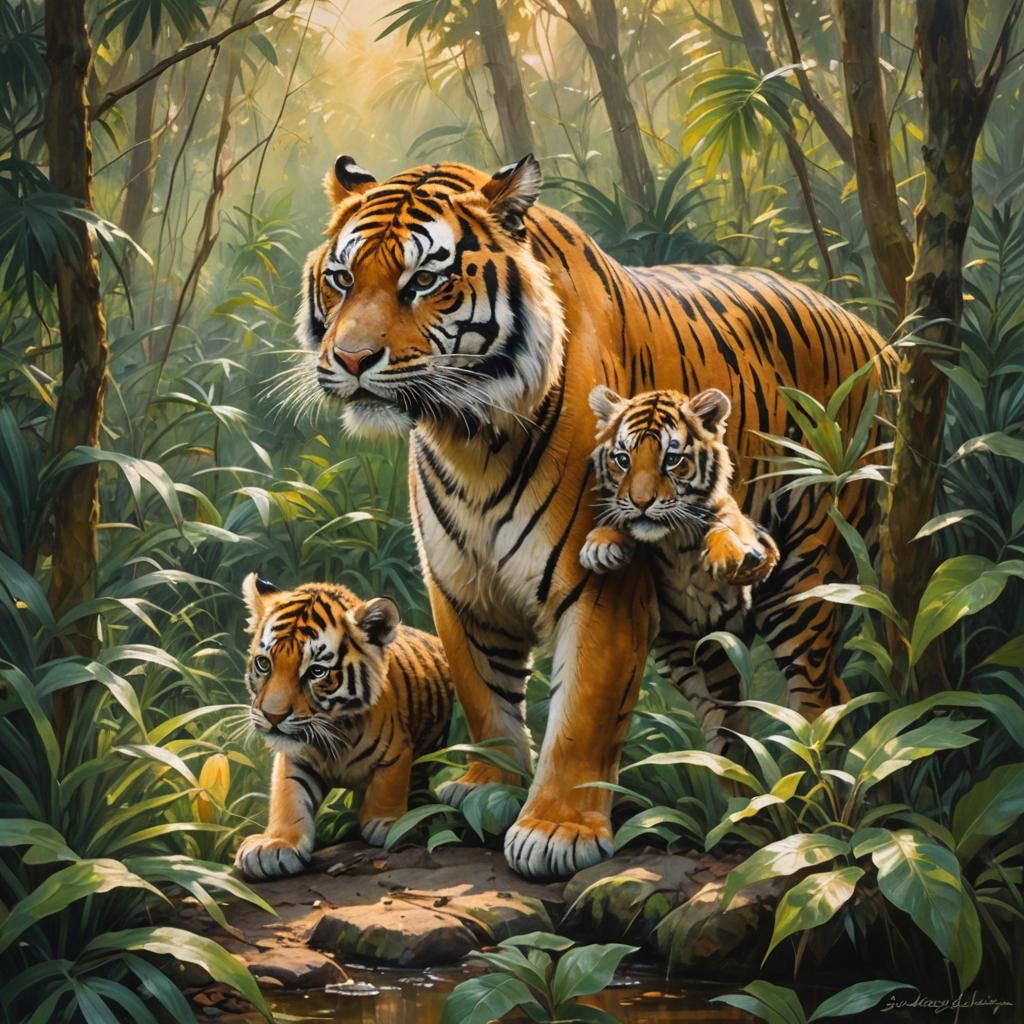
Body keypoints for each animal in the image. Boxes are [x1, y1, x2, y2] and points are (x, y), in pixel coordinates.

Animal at [234, 572, 453, 880]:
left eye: (316, 671)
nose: (272, 716)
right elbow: (288, 796)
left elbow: (390, 783)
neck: (335, 734)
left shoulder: (398, 750)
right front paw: (274, 845)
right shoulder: (295, 759)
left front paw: (388, 822)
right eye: (264, 664)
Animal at [581, 385, 780, 749]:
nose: (642, 502)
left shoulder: (754, 536)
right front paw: (600, 545)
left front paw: (727, 554)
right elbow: (619, 519)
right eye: (623, 460)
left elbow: (729, 525)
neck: (674, 539)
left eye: (672, 460)